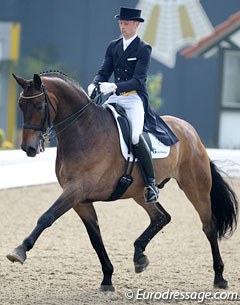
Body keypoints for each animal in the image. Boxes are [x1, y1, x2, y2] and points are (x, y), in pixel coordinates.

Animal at [7, 70, 238, 290]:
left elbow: (47, 217)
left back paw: (220, 278)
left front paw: (19, 250)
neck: (84, 130)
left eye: (38, 106)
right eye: (20, 105)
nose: (29, 148)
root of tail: (190, 131)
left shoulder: (76, 191)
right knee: (161, 217)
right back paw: (139, 256)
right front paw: (107, 278)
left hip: (195, 187)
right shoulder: (80, 200)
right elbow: (95, 238)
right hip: (140, 193)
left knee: (209, 226)